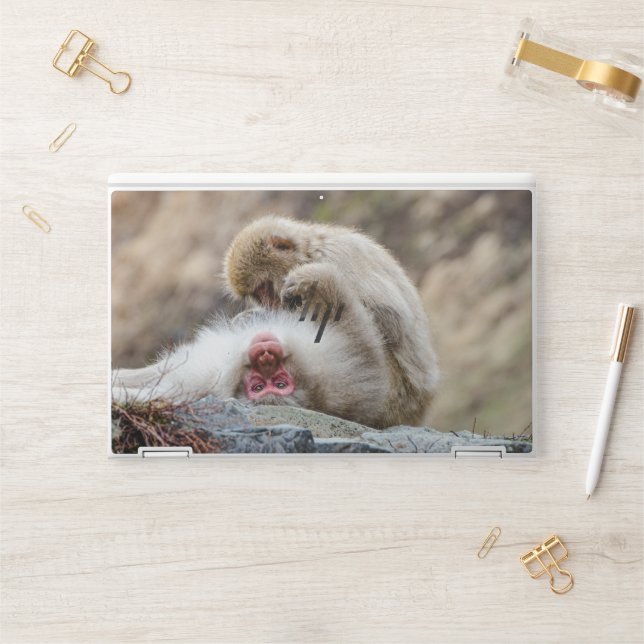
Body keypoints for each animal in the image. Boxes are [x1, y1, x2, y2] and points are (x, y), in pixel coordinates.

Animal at [224, 215, 439, 427]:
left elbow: (391, 321)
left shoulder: (337, 258)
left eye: (265, 288)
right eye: (258, 295)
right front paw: (252, 317)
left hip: (395, 395)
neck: (308, 253)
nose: (270, 304)